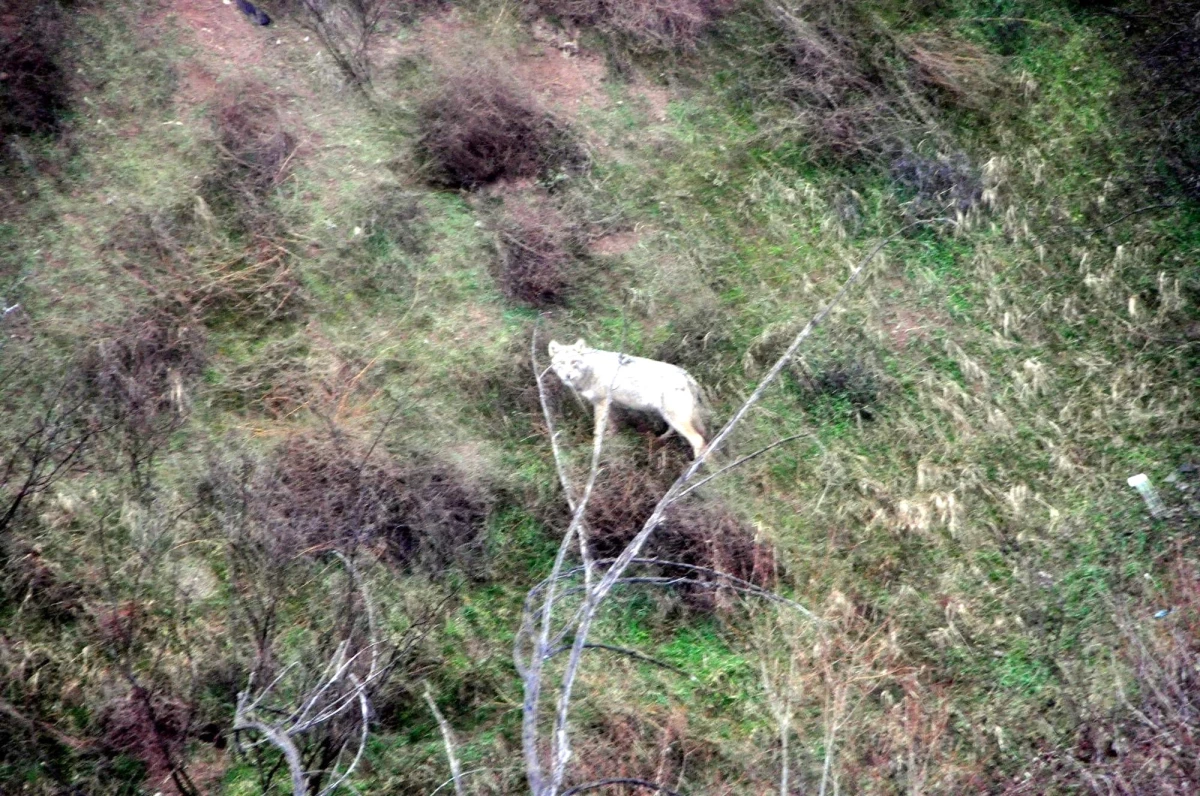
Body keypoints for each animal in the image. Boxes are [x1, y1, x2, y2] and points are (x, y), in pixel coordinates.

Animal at [549, 338, 705, 461]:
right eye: (561, 363)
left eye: (574, 362)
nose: (567, 376)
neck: (590, 371)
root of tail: (687, 375)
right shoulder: (607, 405)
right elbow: (612, 425)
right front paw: (611, 438)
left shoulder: (601, 403)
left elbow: (598, 432)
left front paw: (596, 450)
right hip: (669, 417)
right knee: (677, 431)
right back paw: (660, 439)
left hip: (676, 419)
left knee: (699, 441)